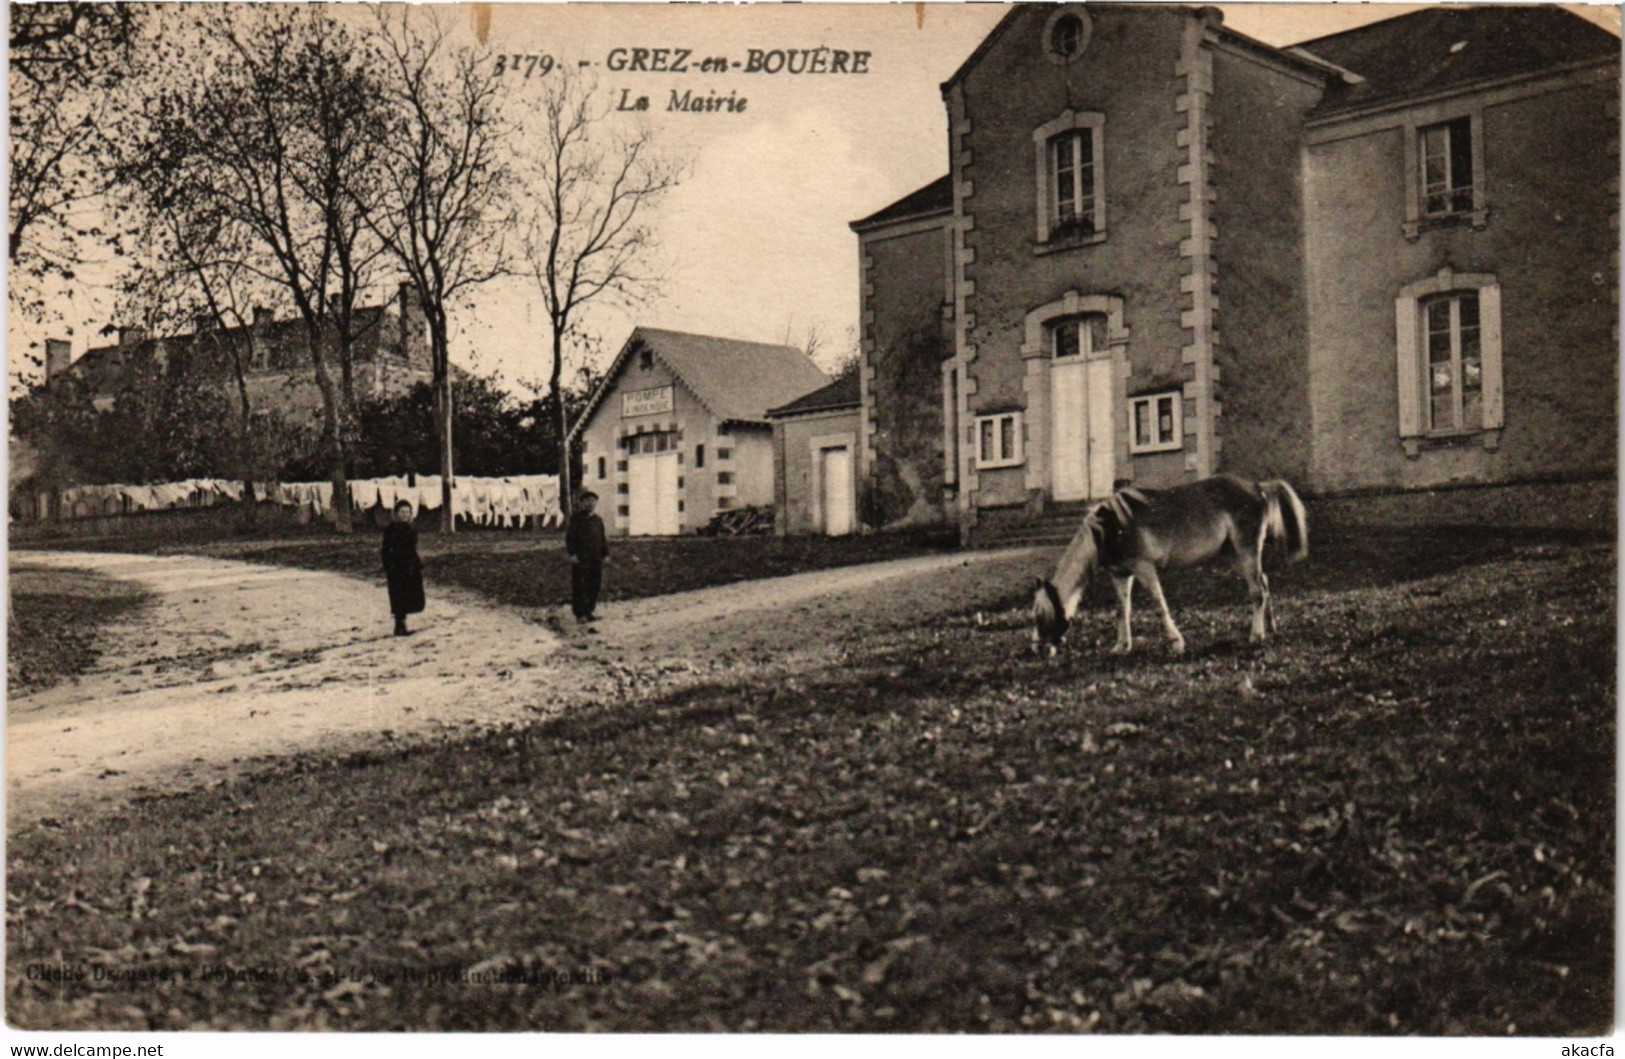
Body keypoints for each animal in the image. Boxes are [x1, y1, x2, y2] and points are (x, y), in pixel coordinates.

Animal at [1033, 474, 1313, 656]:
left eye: (1042, 616)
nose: (1036, 649)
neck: (1107, 529)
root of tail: (1258, 486)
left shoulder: (1144, 569)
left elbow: (1159, 605)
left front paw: (1176, 643)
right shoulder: (1120, 575)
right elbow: (1123, 609)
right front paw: (1122, 646)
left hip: (1247, 550)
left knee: (1257, 592)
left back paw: (1255, 636)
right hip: (1235, 555)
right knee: (1263, 583)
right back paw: (1270, 628)